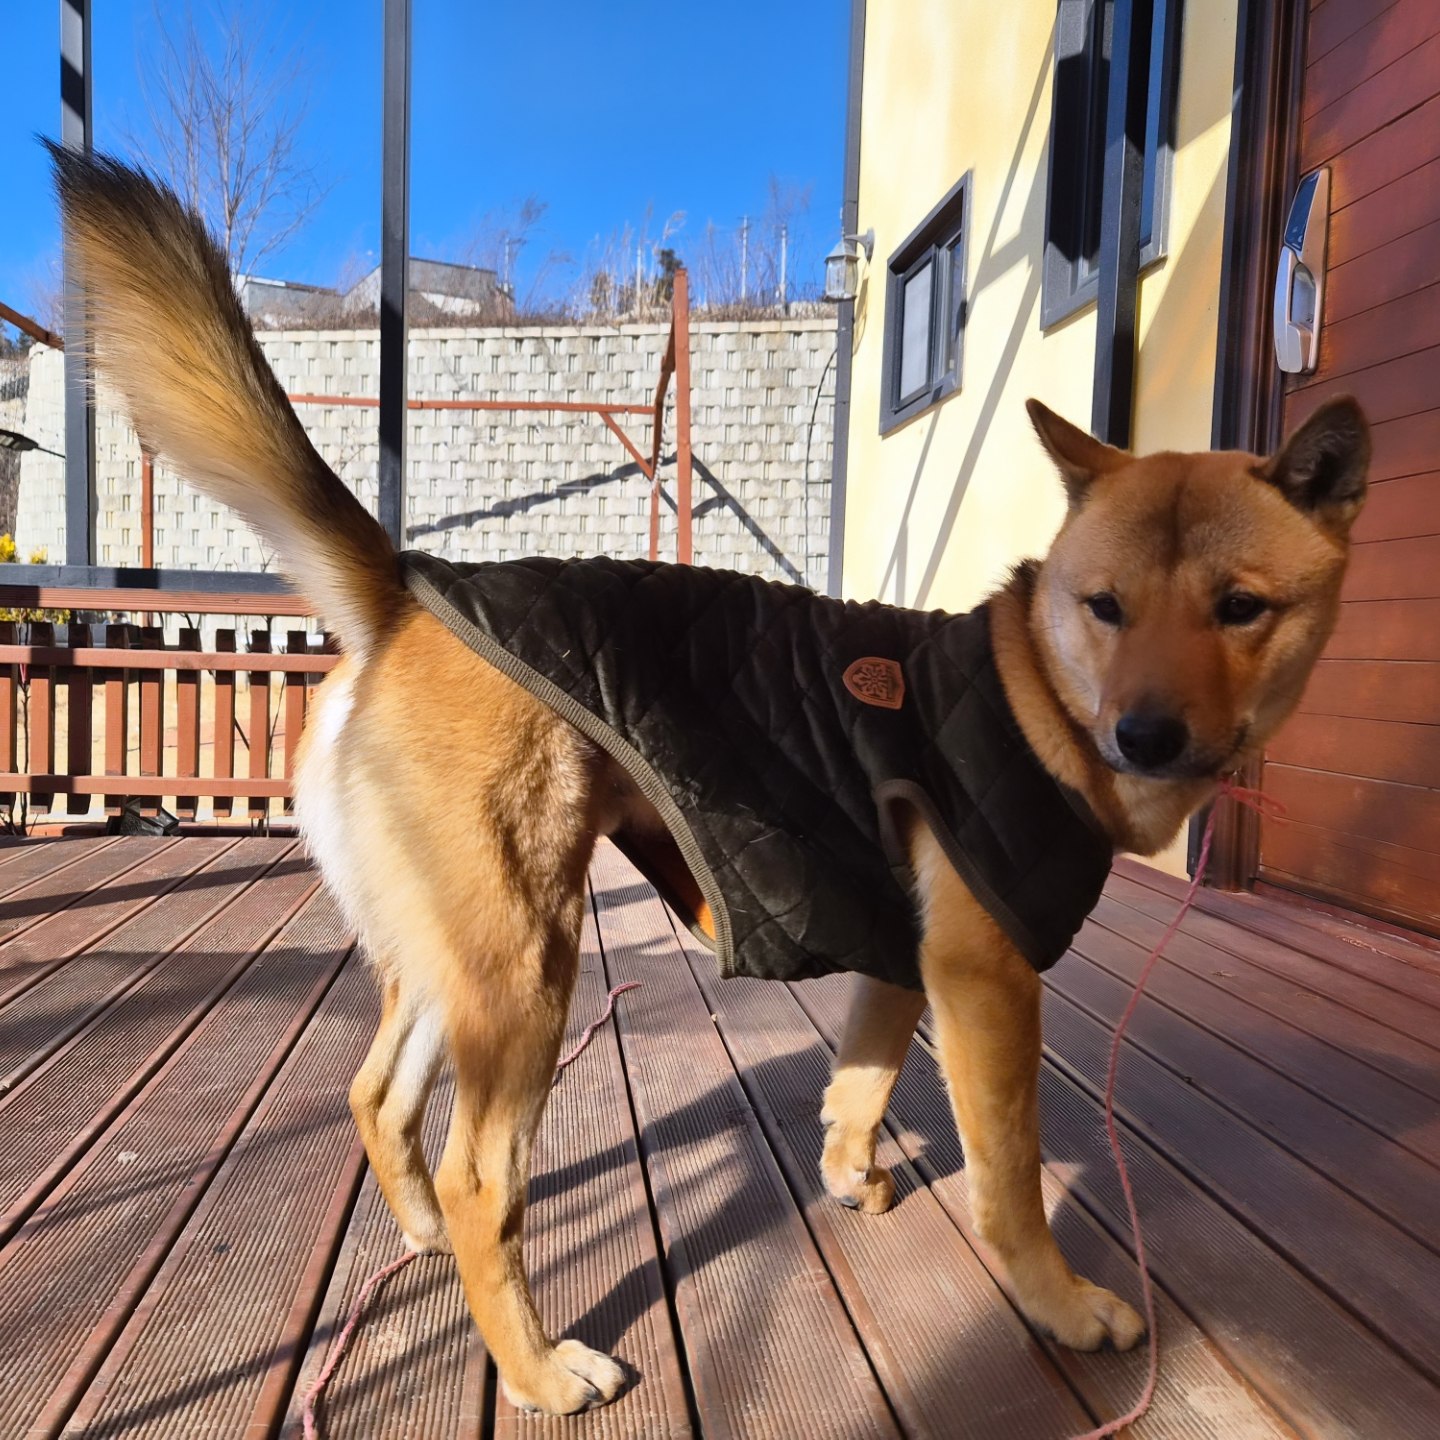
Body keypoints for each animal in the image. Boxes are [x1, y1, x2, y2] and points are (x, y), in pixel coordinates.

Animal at [51, 145, 1369, 1414]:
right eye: (1104, 608)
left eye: (1241, 609)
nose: (1146, 735)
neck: (1034, 687)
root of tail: (405, 590)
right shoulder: (987, 982)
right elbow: (1008, 1175)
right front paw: (1058, 1301)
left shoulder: (908, 957)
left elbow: (859, 1083)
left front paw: (847, 1174)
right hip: (525, 965)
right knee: (485, 1179)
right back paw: (537, 1367)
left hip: (452, 955)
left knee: (379, 1097)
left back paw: (422, 1237)